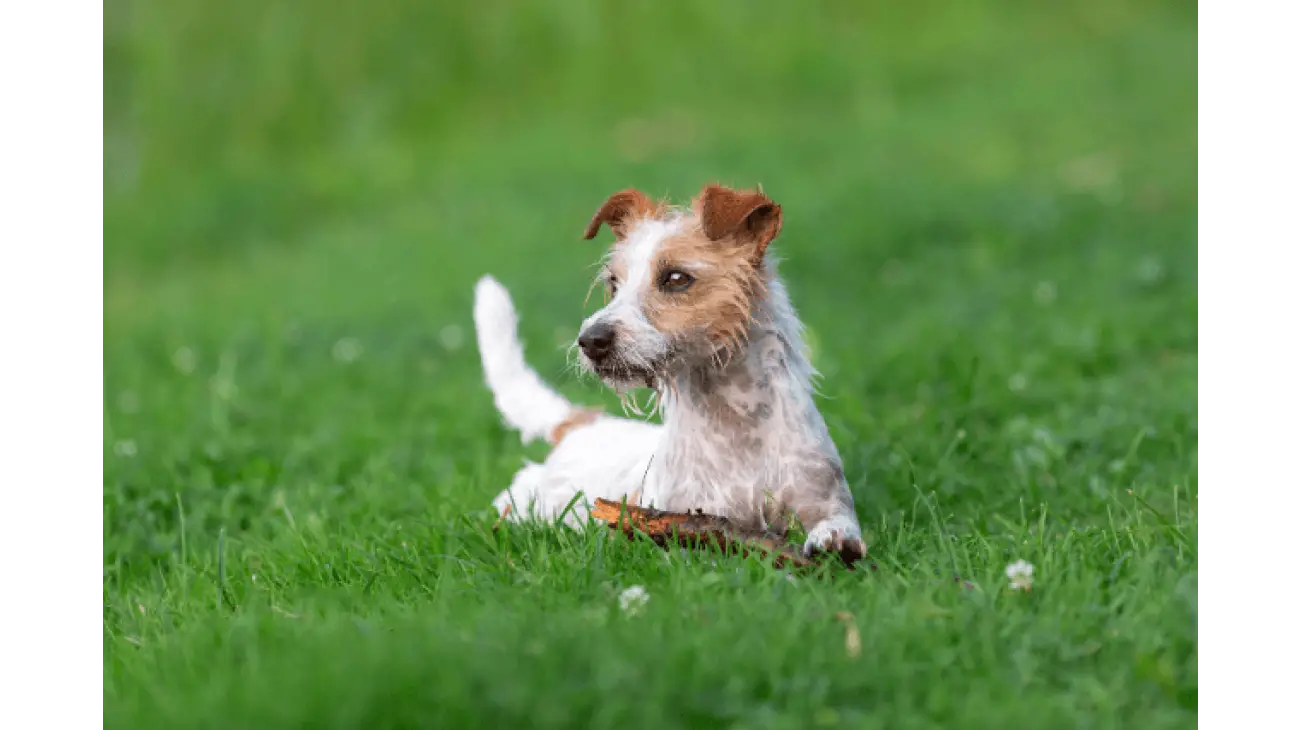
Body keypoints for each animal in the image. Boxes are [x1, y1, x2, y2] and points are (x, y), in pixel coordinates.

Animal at [475, 184, 863, 558]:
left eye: (676, 278)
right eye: (613, 283)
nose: (590, 340)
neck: (735, 420)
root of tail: (582, 423)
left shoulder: (822, 496)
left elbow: (837, 523)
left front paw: (833, 541)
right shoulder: (686, 513)